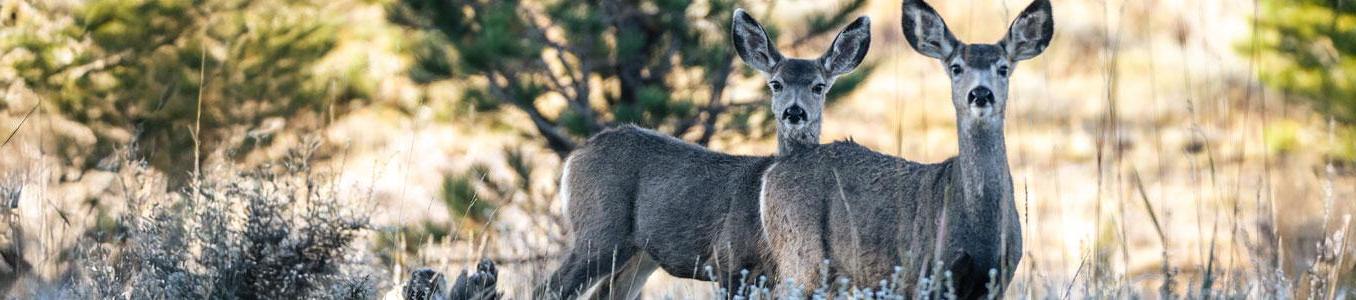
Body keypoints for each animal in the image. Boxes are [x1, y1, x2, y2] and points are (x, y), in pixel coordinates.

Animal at [534, 9, 873, 300]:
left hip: (640, 254)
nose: (794, 112)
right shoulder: (728, 258)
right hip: (600, 231)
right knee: (549, 287)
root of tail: (576, 154)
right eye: (776, 84)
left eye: (818, 86)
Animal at [759, 0, 1052, 295]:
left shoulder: (999, 278)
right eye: (956, 67)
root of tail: (775, 169)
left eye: (1003, 68)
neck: (978, 224)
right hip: (799, 254)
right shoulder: (923, 270)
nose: (980, 94)